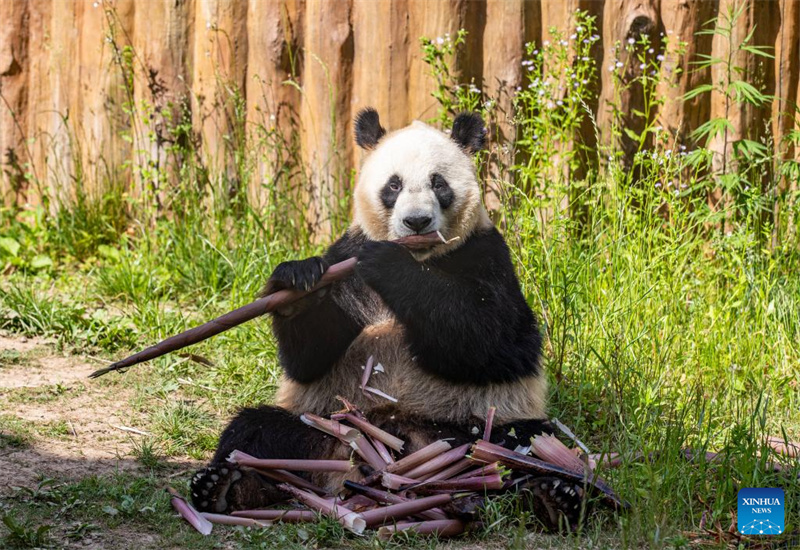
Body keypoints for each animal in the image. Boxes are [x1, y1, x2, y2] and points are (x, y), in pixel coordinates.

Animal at [190, 108, 582, 529]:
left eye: (439, 183)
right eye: (393, 185)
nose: (417, 222)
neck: (422, 256)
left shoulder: (486, 256)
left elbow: (497, 342)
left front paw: (392, 266)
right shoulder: (345, 257)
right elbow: (308, 359)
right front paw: (297, 283)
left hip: (473, 428)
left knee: (529, 443)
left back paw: (552, 497)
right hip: (328, 422)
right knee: (253, 433)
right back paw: (228, 487)